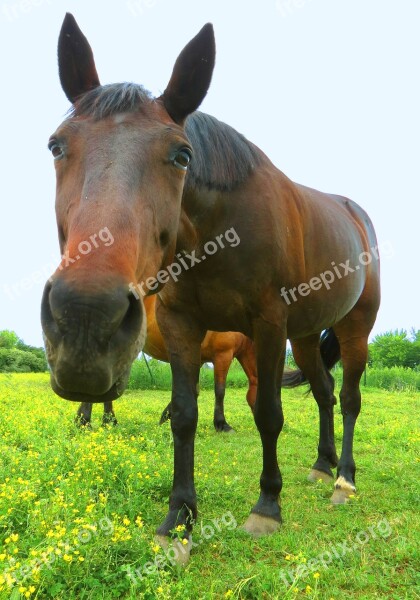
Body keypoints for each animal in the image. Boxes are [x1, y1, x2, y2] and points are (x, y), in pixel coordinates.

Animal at [77, 294, 258, 426]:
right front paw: (221, 424)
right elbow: (219, 391)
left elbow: (194, 390)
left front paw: (166, 417)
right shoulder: (223, 355)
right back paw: (86, 421)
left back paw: (108, 420)